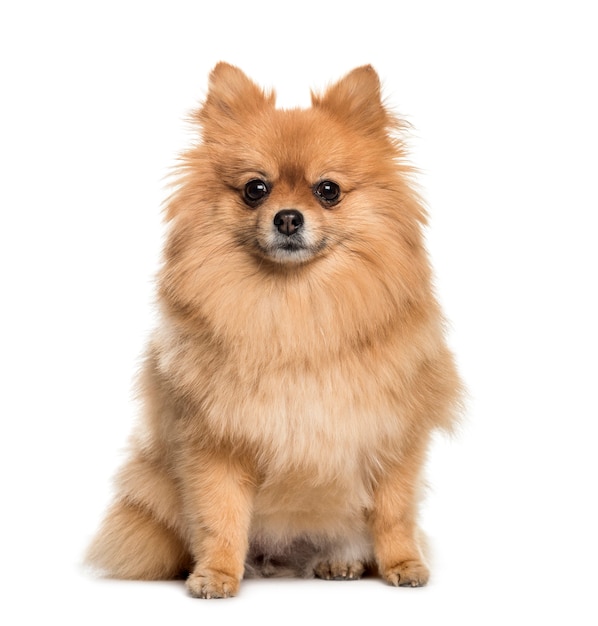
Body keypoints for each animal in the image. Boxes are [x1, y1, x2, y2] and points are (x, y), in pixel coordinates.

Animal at [86, 62, 464, 596]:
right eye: (255, 189)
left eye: (328, 190)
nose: (288, 218)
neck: (294, 307)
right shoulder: (216, 440)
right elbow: (219, 515)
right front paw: (217, 574)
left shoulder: (393, 433)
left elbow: (395, 512)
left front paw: (403, 564)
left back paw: (339, 560)